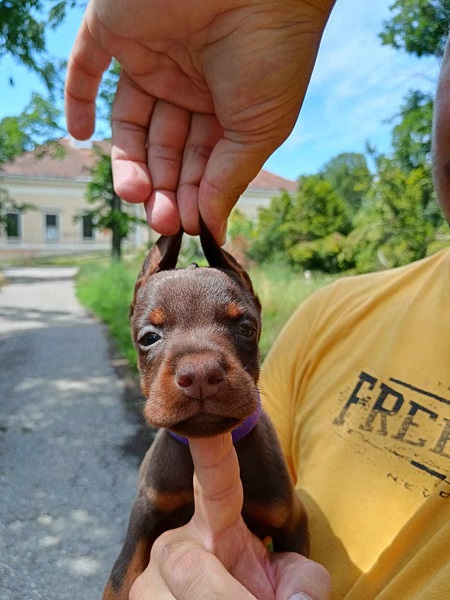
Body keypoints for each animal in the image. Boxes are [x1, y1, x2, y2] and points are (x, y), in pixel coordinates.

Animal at [103, 223, 310, 596]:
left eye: (245, 328)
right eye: (149, 337)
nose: (200, 375)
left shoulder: (291, 519)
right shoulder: (146, 512)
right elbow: (121, 578)